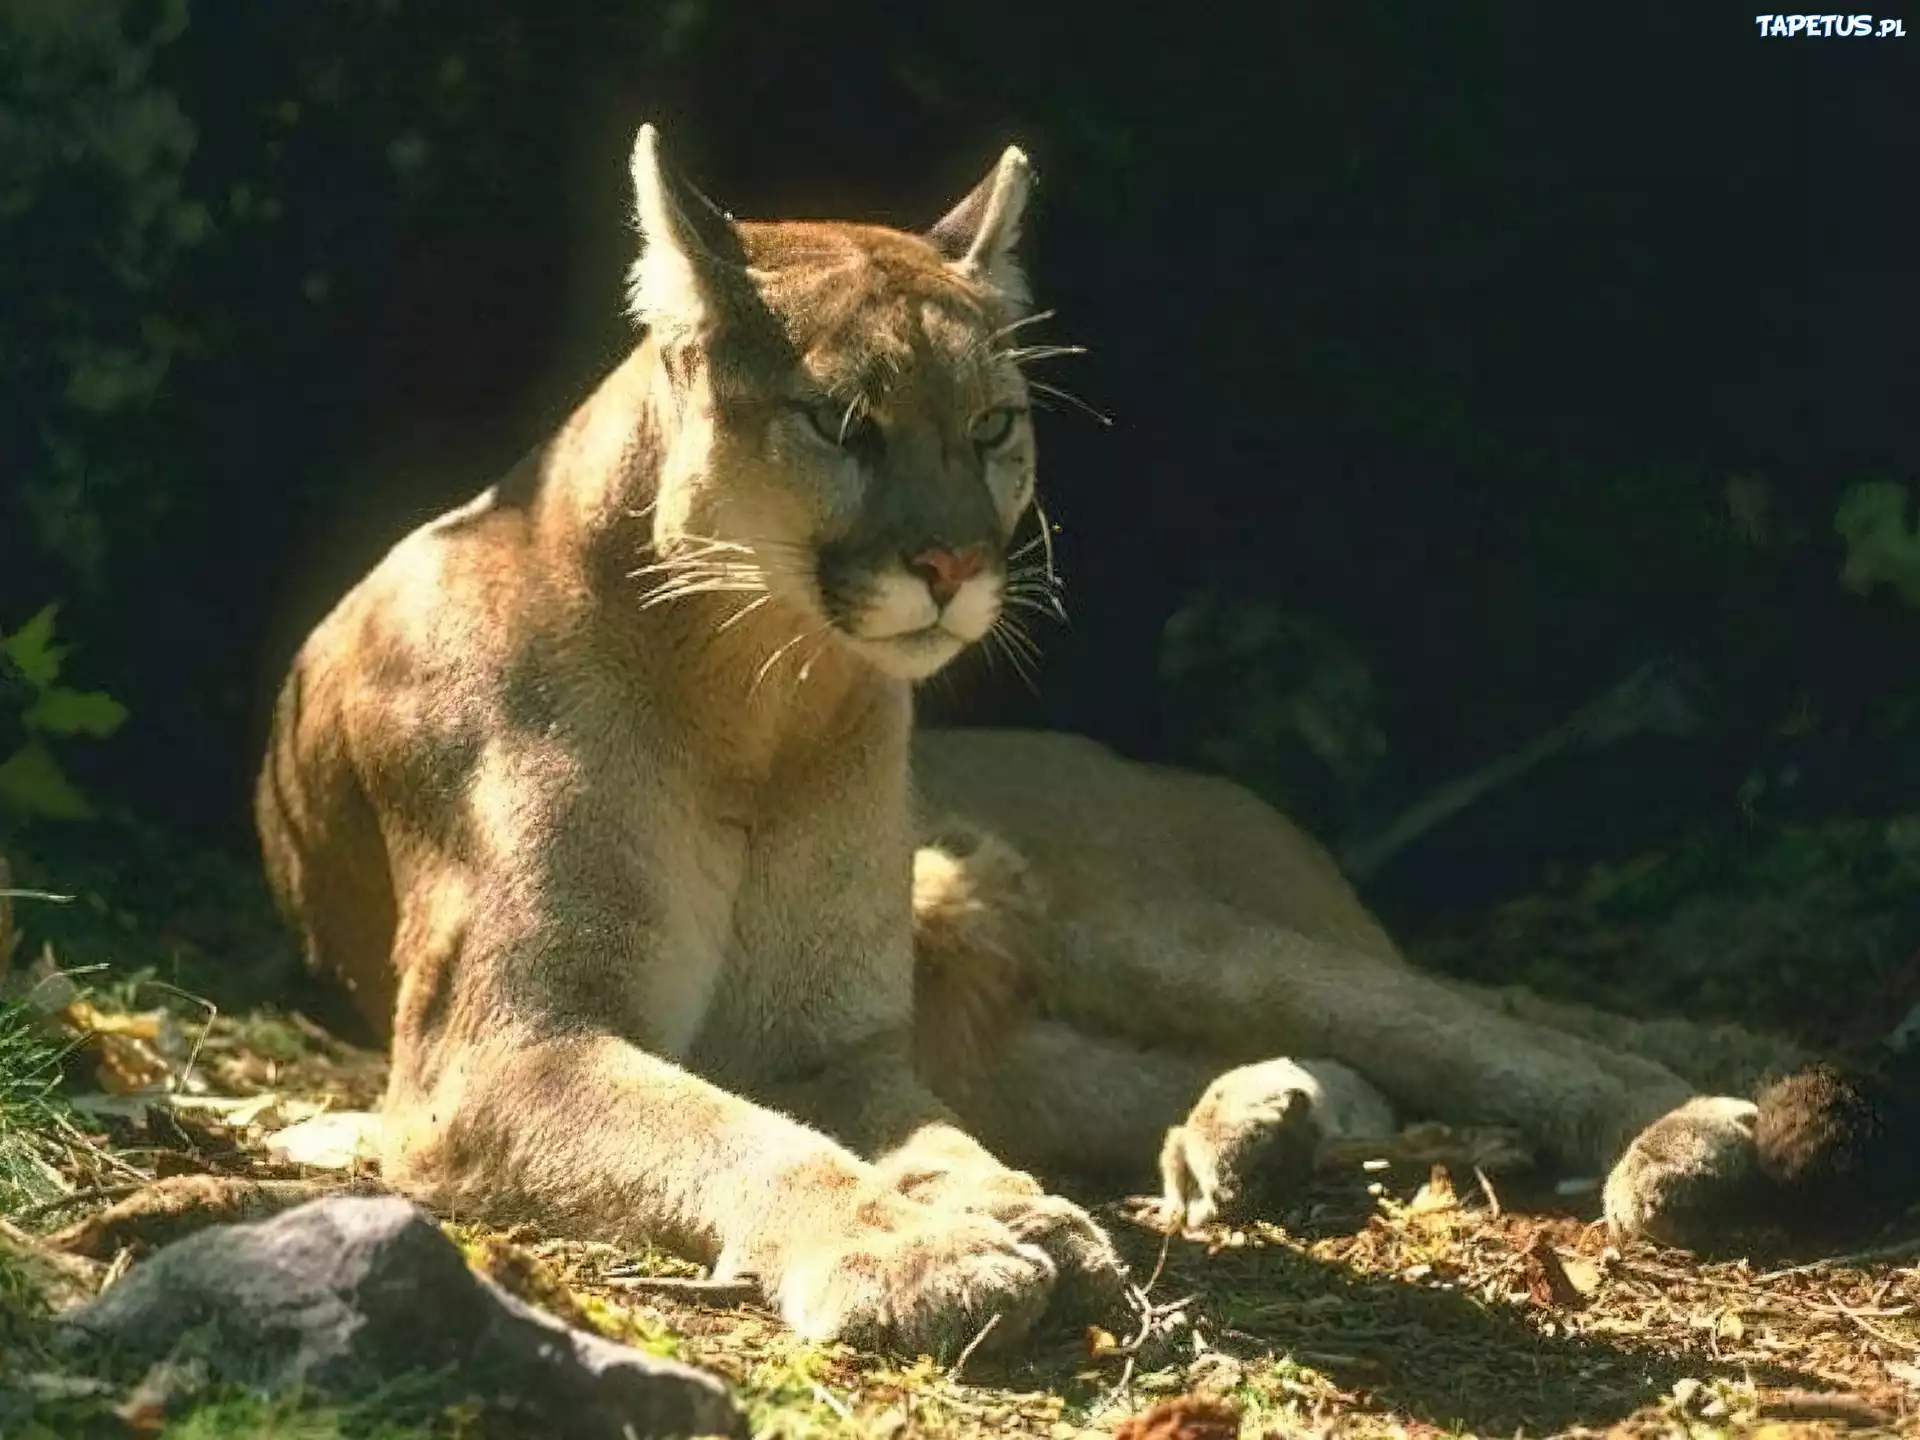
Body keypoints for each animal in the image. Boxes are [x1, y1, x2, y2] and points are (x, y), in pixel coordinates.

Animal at [259, 126, 1843, 1367]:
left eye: (993, 426)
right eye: (842, 420)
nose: (957, 562)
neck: (751, 696)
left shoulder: (821, 1037)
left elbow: (870, 1135)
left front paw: (979, 1225)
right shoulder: (501, 1047)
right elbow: (737, 1132)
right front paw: (936, 1247)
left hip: (1147, 923)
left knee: (1481, 1030)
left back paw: (1683, 1139)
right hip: (1042, 1030)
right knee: (1301, 1081)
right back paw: (1247, 1134)